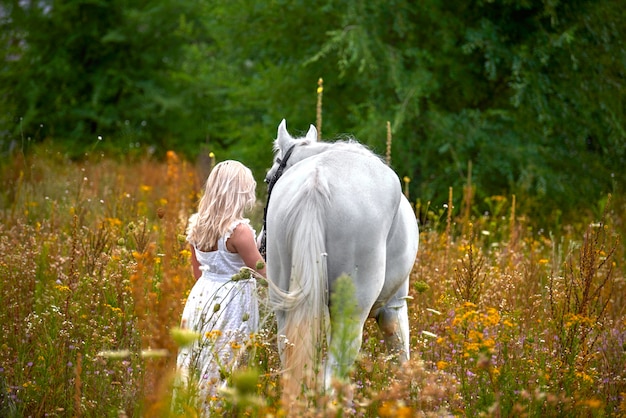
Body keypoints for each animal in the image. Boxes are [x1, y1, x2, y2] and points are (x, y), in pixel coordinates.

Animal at [260, 119, 416, 400]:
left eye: (268, 178)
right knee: (331, 379)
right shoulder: (394, 307)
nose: (259, 243)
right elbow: (402, 358)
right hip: (351, 315)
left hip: (285, 307)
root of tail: (318, 178)